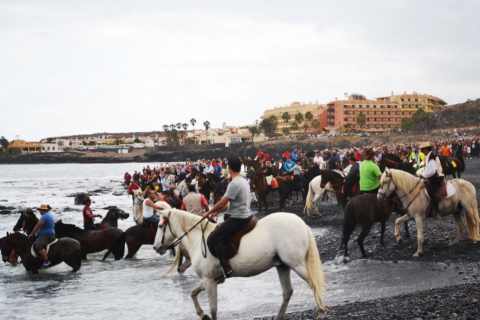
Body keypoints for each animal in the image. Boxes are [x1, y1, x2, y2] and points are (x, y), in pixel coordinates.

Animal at [154, 210, 326, 320]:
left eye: (160, 226)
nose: (156, 247)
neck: (197, 239)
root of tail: (302, 224)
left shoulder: (209, 280)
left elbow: (213, 307)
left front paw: (206, 314)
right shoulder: (215, 279)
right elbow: (193, 292)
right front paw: (202, 314)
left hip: (296, 264)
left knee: (314, 284)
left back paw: (321, 313)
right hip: (282, 266)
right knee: (287, 292)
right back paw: (279, 317)